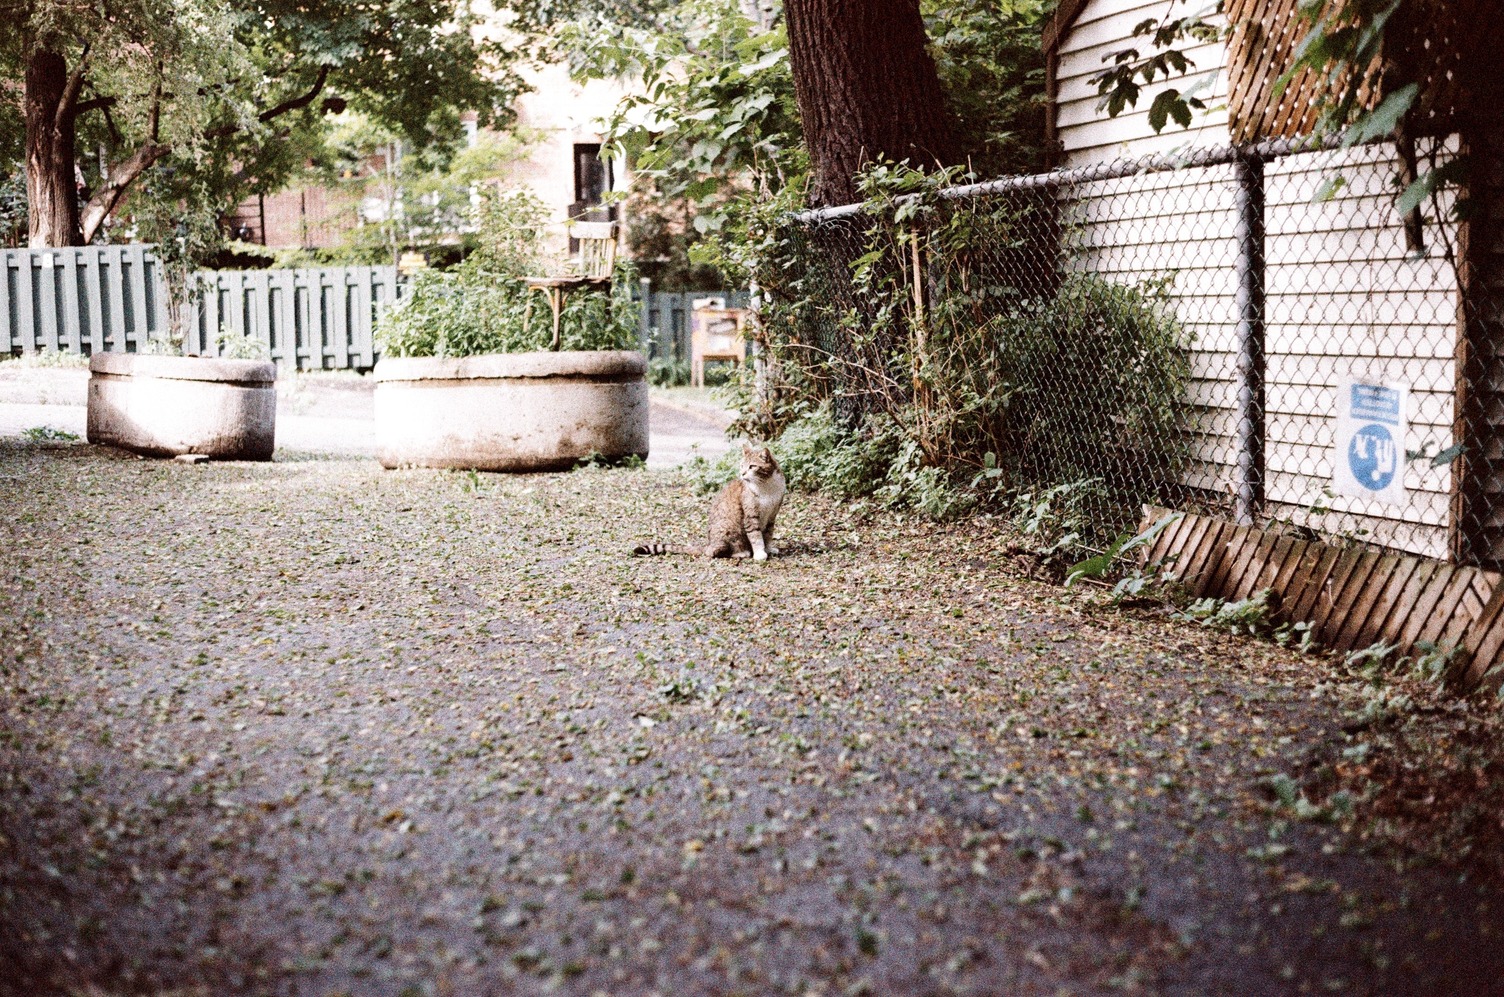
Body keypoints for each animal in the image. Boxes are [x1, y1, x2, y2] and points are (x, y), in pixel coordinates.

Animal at [634, 445, 788, 562]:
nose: (743, 473)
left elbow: (768, 534)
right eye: (742, 466)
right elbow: (756, 536)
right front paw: (760, 553)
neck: (766, 485)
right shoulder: (750, 515)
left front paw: (768, 548)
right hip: (727, 528)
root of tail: (708, 544)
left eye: (752, 466)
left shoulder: (772, 514)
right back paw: (741, 552)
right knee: (715, 552)